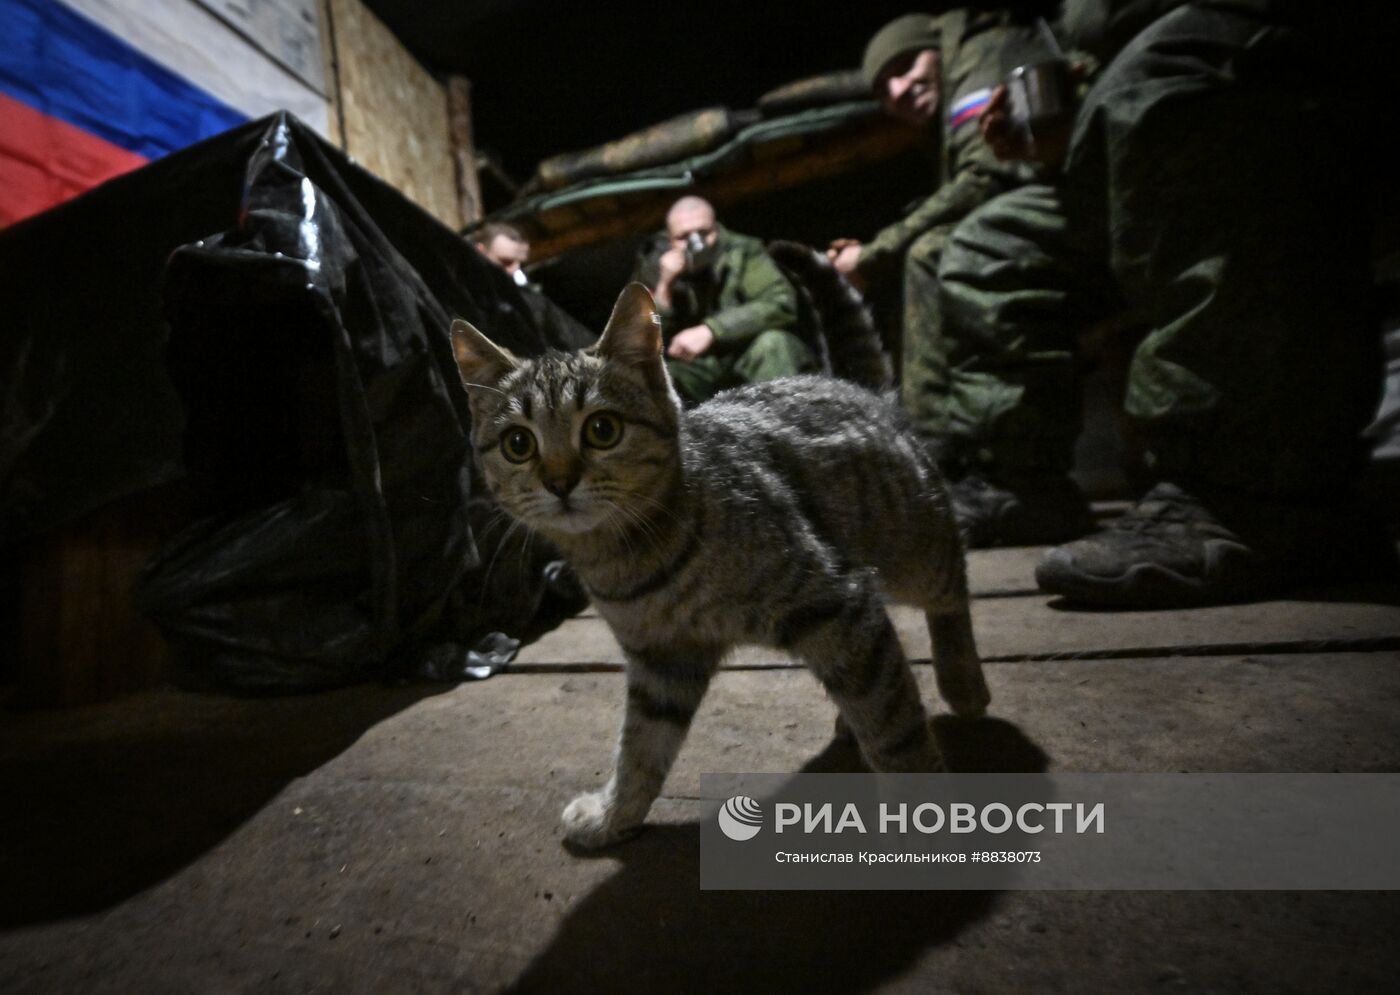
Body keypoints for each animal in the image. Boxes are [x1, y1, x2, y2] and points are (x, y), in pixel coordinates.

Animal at [448, 282, 985, 850]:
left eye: (601, 429)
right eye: (518, 443)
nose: (558, 482)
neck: (634, 561)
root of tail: (861, 389)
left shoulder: (836, 600)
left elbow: (894, 731)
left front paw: (922, 818)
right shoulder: (662, 662)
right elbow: (641, 749)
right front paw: (614, 815)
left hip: (916, 545)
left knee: (950, 590)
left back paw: (963, 681)